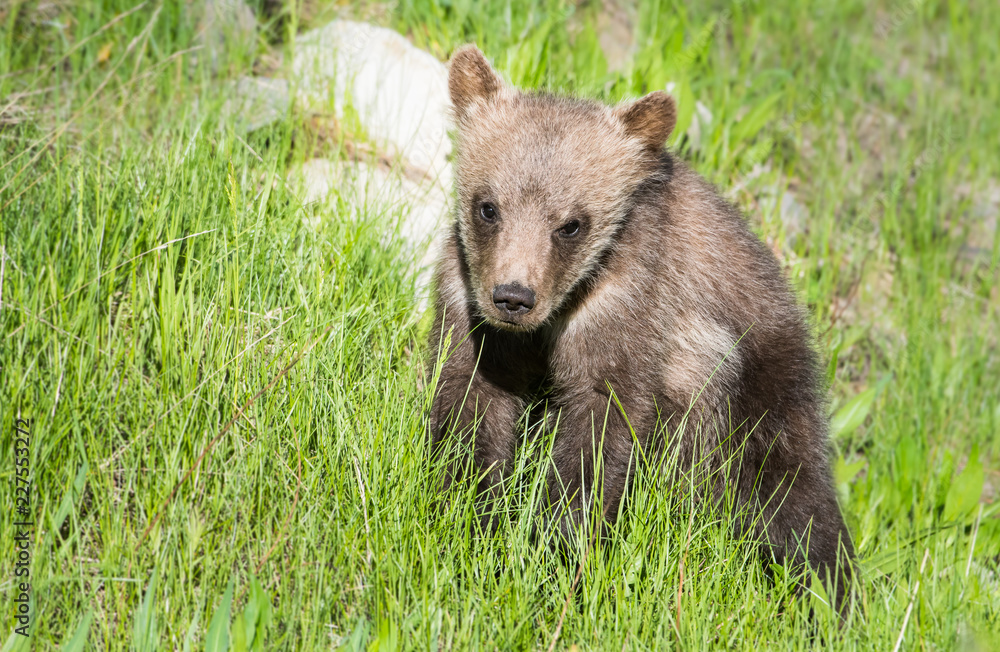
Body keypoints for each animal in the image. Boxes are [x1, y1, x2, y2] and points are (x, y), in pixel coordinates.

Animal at [428, 44, 855, 608]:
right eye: (488, 207)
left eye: (571, 223)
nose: (513, 297)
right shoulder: (473, 309)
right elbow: (470, 406)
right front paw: (470, 517)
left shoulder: (629, 313)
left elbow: (602, 427)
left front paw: (559, 549)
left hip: (751, 384)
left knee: (788, 490)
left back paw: (824, 592)